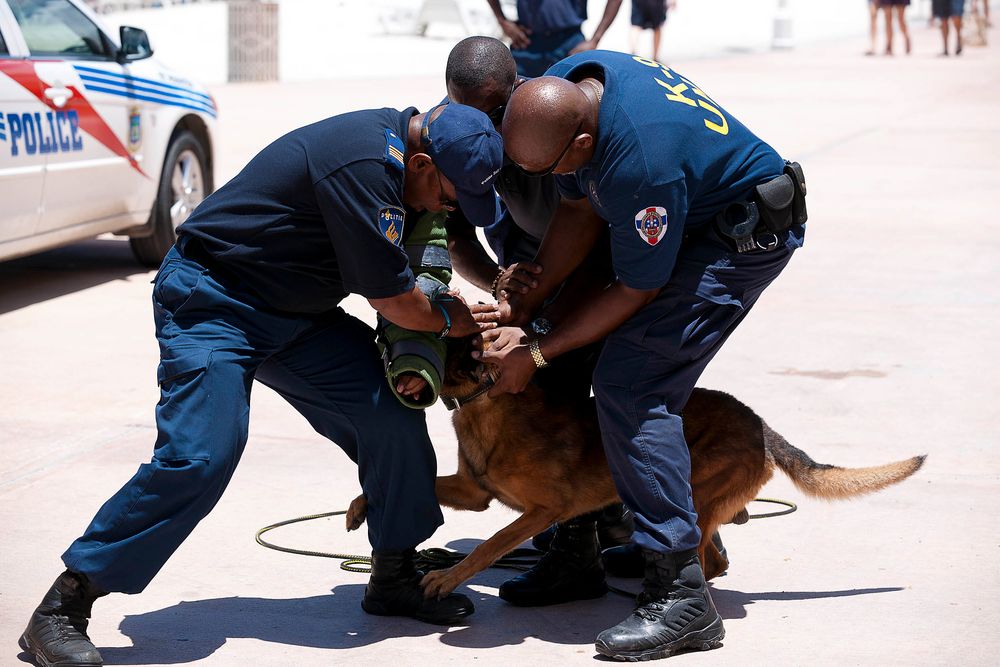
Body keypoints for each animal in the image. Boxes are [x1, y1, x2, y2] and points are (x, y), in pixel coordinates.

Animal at [348, 340, 924, 600]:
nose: (378, 344)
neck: (488, 404)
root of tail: (761, 425)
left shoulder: (540, 511)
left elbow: (488, 548)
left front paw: (445, 578)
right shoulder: (473, 493)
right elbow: (410, 488)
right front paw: (358, 508)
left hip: (692, 491)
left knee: (707, 556)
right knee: (716, 555)